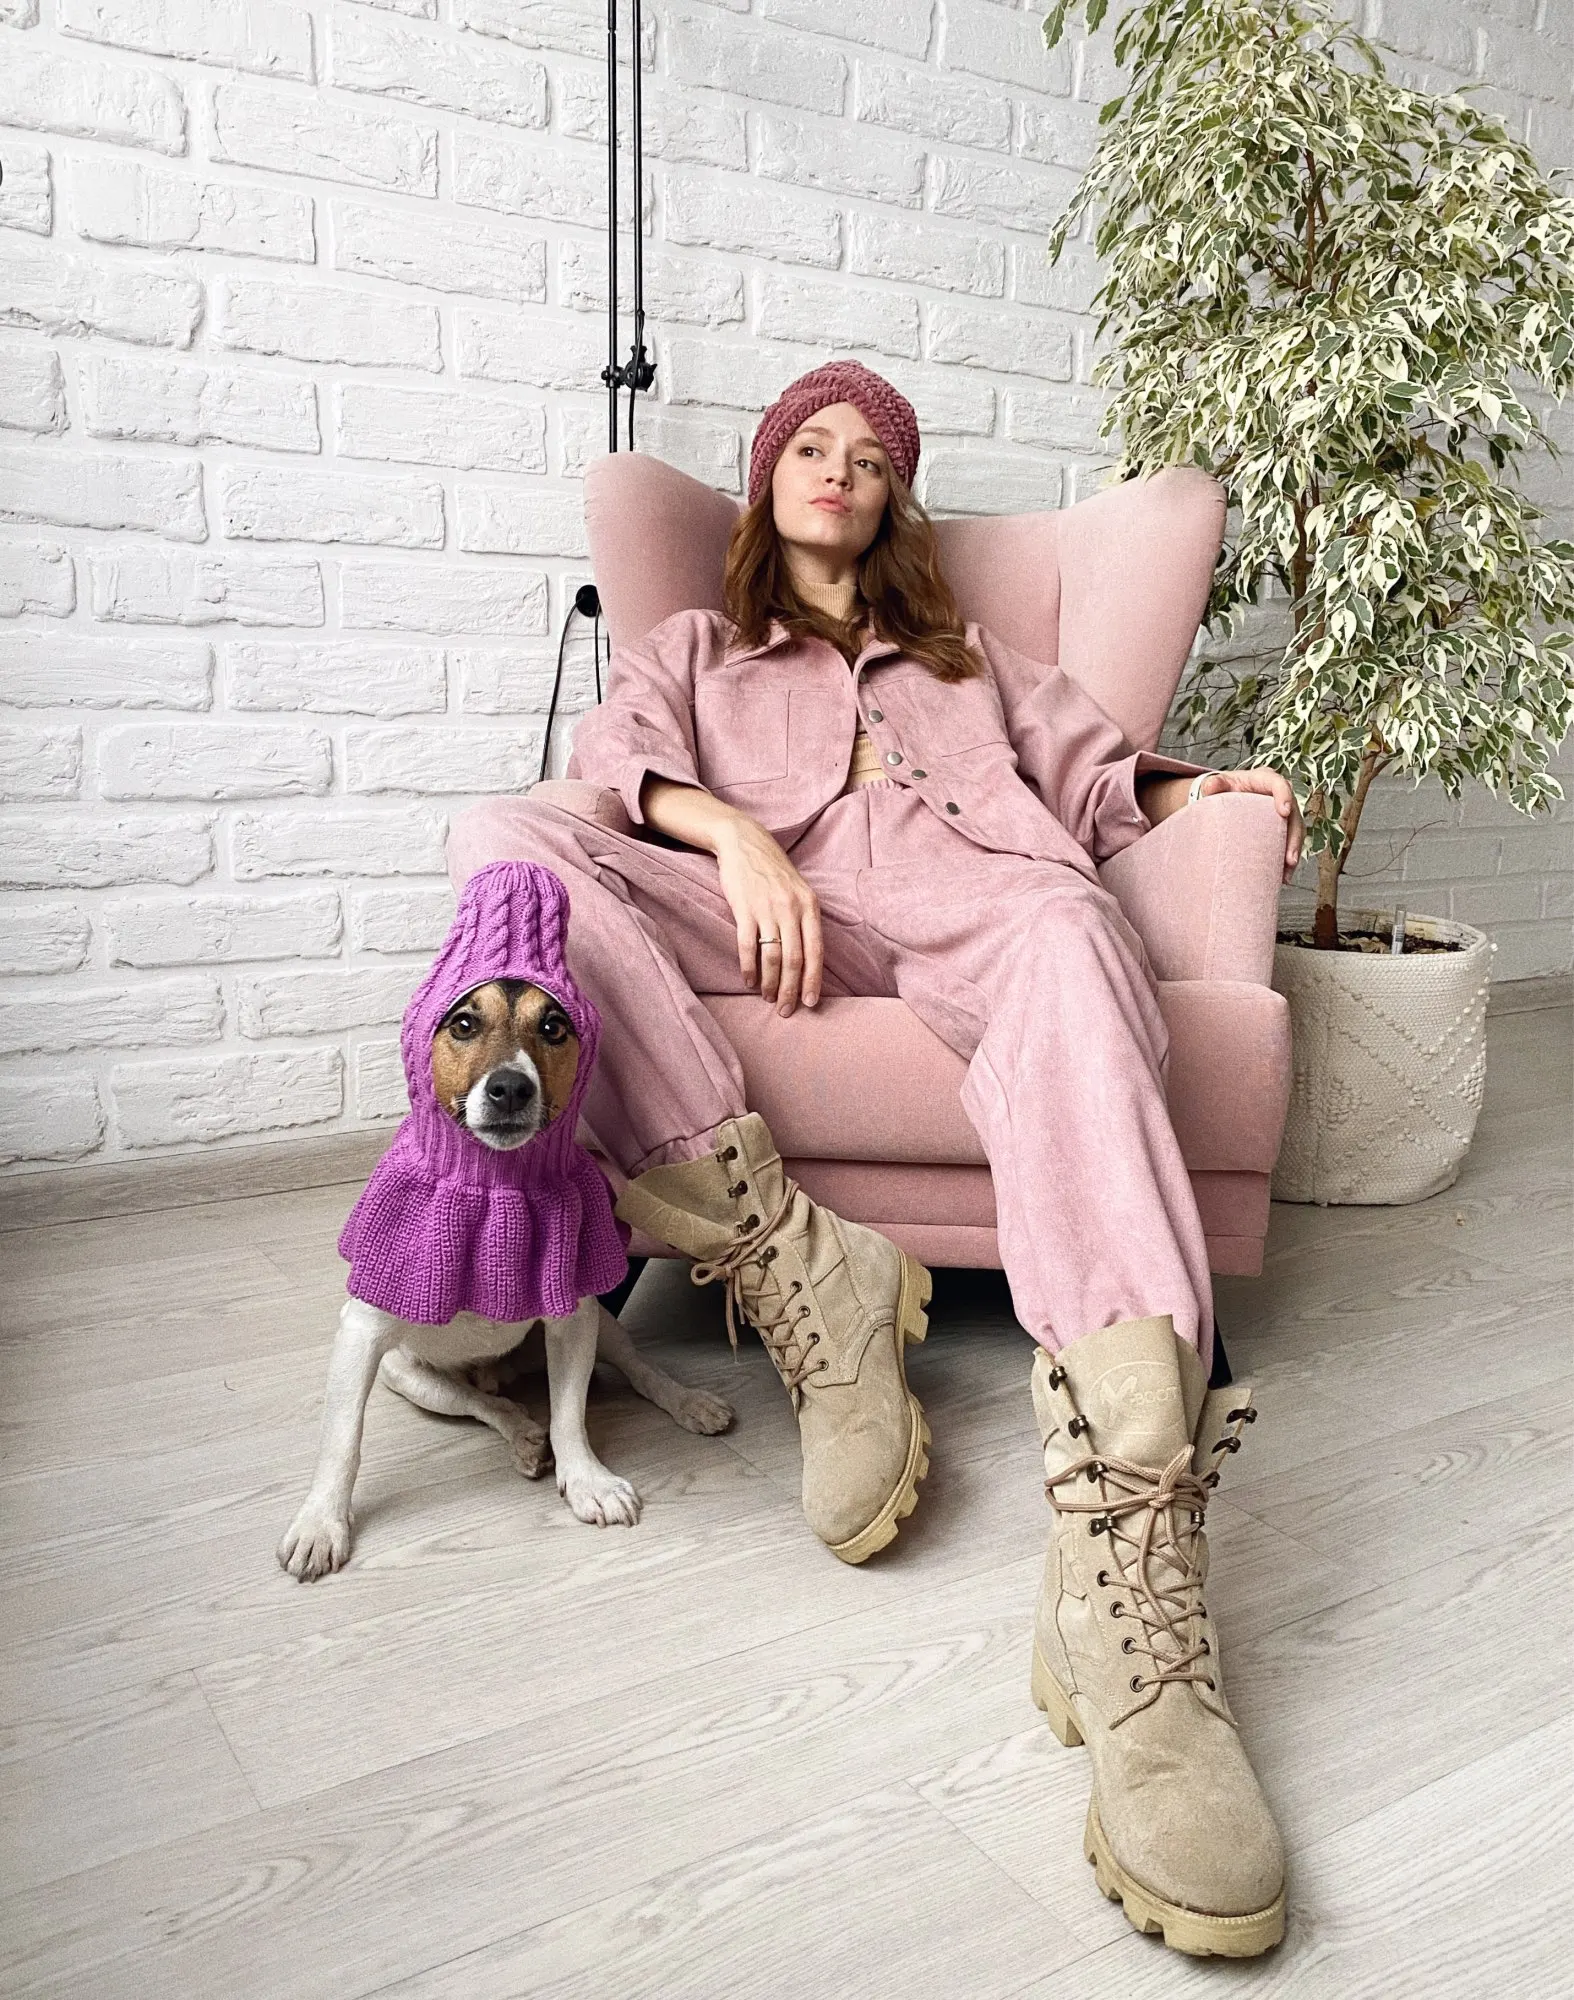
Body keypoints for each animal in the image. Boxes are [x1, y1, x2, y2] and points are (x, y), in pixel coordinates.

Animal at [278, 975, 733, 1582]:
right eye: (464, 1023)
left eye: (553, 1026)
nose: (511, 1089)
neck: (495, 1187)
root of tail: (500, 1369)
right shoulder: (361, 1335)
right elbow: (342, 1439)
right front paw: (320, 1525)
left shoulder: (574, 1319)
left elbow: (570, 1415)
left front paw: (587, 1481)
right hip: (411, 1376)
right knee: (487, 1405)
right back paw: (521, 1434)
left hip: (603, 1326)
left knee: (640, 1371)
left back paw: (689, 1404)